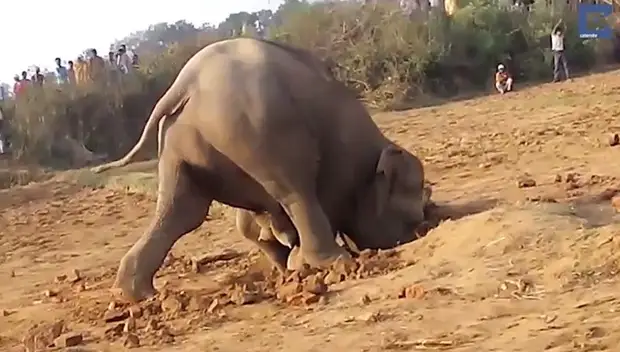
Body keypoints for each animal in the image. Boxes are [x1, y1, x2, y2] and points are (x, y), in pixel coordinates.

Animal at [91, 38, 426, 302]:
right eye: (415, 211)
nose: (426, 225)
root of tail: (185, 83)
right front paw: (299, 263)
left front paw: (289, 262)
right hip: (259, 129)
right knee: (295, 190)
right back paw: (336, 263)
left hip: (181, 140)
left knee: (183, 210)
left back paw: (138, 294)